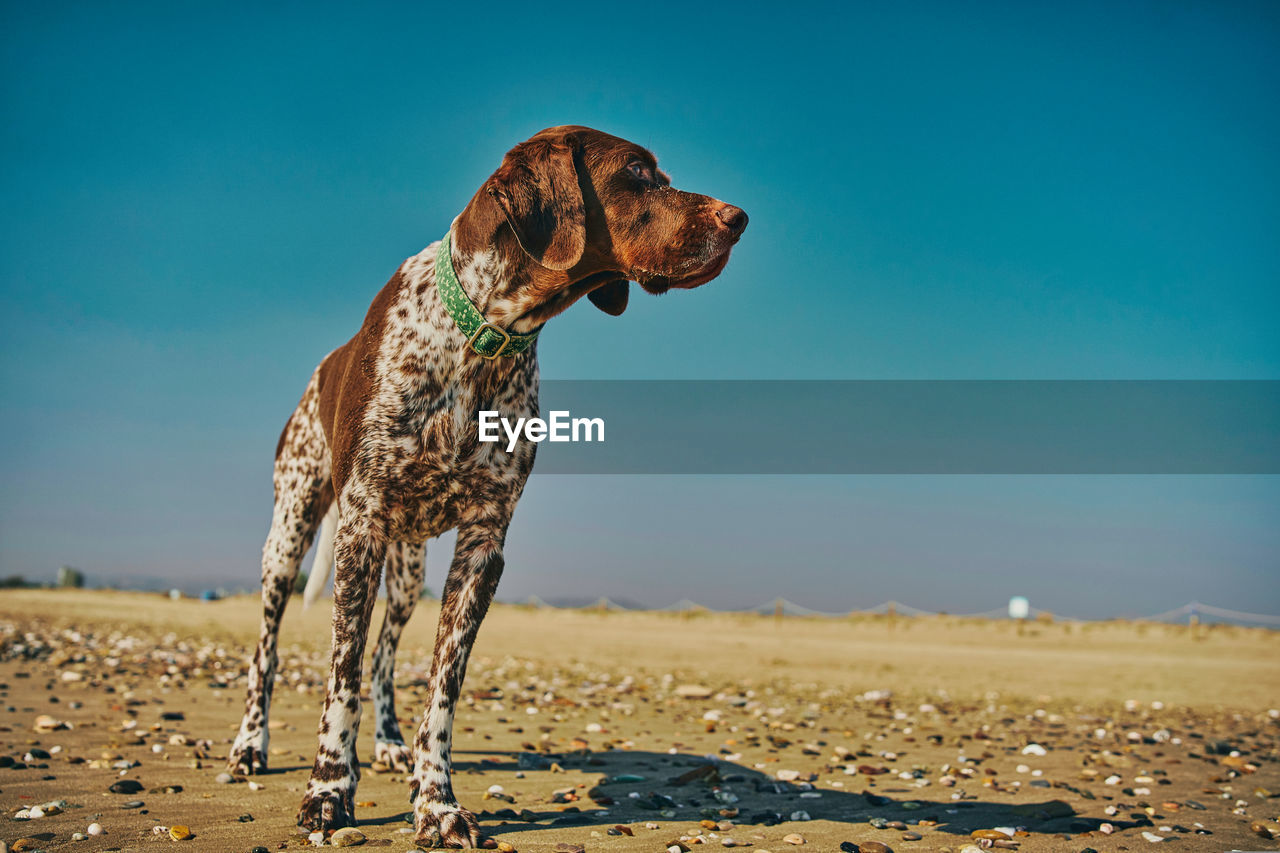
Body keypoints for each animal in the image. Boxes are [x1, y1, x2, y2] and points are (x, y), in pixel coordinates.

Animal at [231, 124, 747, 845]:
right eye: (638, 172)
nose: (739, 218)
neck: (484, 333)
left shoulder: (482, 545)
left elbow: (440, 690)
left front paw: (435, 802)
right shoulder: (359, 528)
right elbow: (340, 678)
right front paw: (329, 791)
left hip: (407, 570)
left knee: (386, 656)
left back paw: (386, 742)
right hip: (291, 534)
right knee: (269, 651)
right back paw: (251, 743)